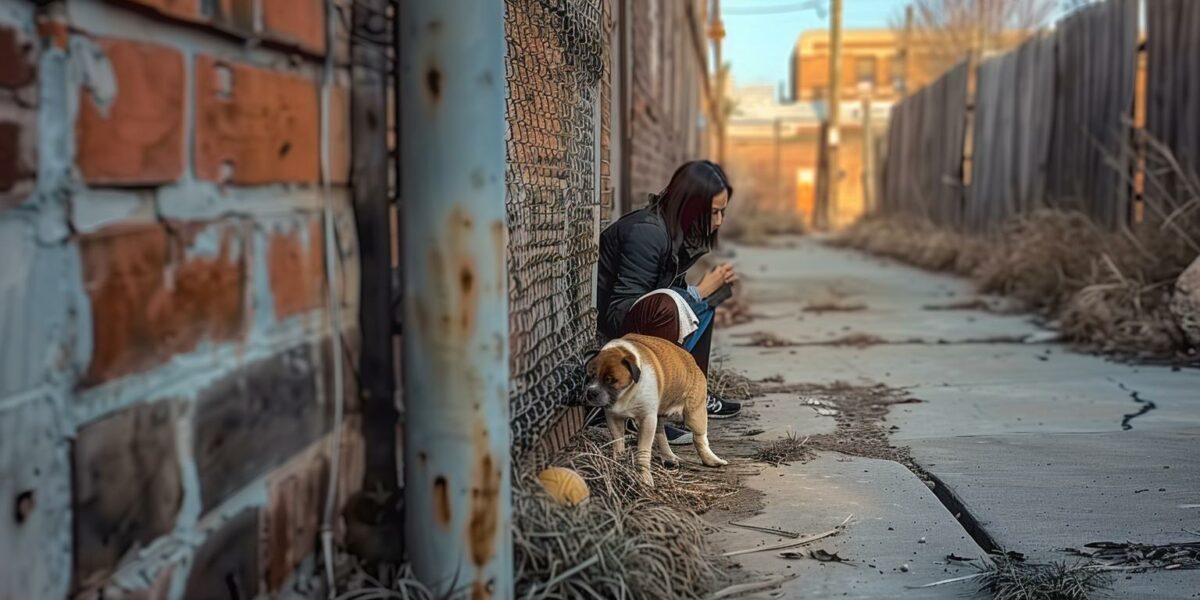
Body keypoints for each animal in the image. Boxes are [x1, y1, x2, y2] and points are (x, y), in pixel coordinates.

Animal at [583, 336, 724, 484]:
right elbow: (618, 445)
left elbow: (643, 451)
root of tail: (691, 360)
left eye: (610, 380)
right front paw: (619, 465)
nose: (591, 392)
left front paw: (644, 477)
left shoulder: (647, 420)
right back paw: (668, 456)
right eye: (590, 376)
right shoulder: (614, 419)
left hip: (694, 415)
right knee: (661, 433)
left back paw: (710, 459)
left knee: (699, 438)